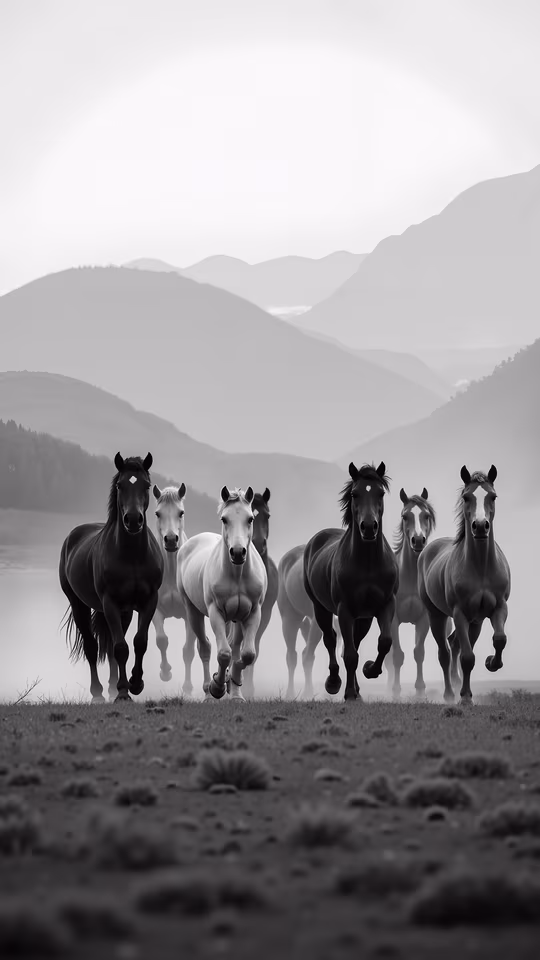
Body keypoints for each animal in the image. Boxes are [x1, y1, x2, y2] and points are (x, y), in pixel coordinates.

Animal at [59, 453, 163, 702]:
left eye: (146, 485)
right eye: (119, 485)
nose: (133, 520)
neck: (133, 557)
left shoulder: (148, 601)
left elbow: (139, 642)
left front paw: (135, 683)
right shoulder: (110, 603)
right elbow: (120, 648)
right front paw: (124, 691)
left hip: (124, 612)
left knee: (112, 645)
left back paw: (112, 686)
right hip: (79, 604)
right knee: (92, 646)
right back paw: (98, 693)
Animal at [151, 484, 211, 697]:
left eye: (181, 512)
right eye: (158, 513)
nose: (170, 540)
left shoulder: (188, 614)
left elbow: (188, 651)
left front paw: (187, 687)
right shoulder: (156, 610)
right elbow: (161, 640)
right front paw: (165, 672)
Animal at [177, 487, 267, 700]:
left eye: (250, 519)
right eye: (224, 519)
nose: (238, 552)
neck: (237, 575)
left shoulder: (252, 613)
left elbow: (246, 654)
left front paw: (233, 686)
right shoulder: (215, 613)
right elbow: (224, 653)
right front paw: (217, 686)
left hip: (234, 618)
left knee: (234, 647)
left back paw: (233, 691)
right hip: (192, 611)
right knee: (205, 647)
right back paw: (209, 692)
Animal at [303, 462, 399, 701]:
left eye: (380, 492)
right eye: (355, 494)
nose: (369, 527)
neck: (368, 564)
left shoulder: (384, 605)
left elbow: (384, 642)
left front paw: (370, 669)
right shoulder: (344, 609)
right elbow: (349, 655)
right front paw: (347, 693)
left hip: (363, 617)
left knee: (355, 641)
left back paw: (357, 688)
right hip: (320, 608)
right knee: (330, 639)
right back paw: (334, 682)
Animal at [418, 465, 510, 701]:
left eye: (493, 496)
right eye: (466, 497)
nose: (480, 527)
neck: (481, 568)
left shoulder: (499, 607)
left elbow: (500, 639)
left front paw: (492, 663)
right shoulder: (459, 613)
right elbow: (467, 658)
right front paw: (466, 697)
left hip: (475, 621)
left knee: (454, 644)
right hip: (437, 615)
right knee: (444, 652)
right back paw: (450, 693)